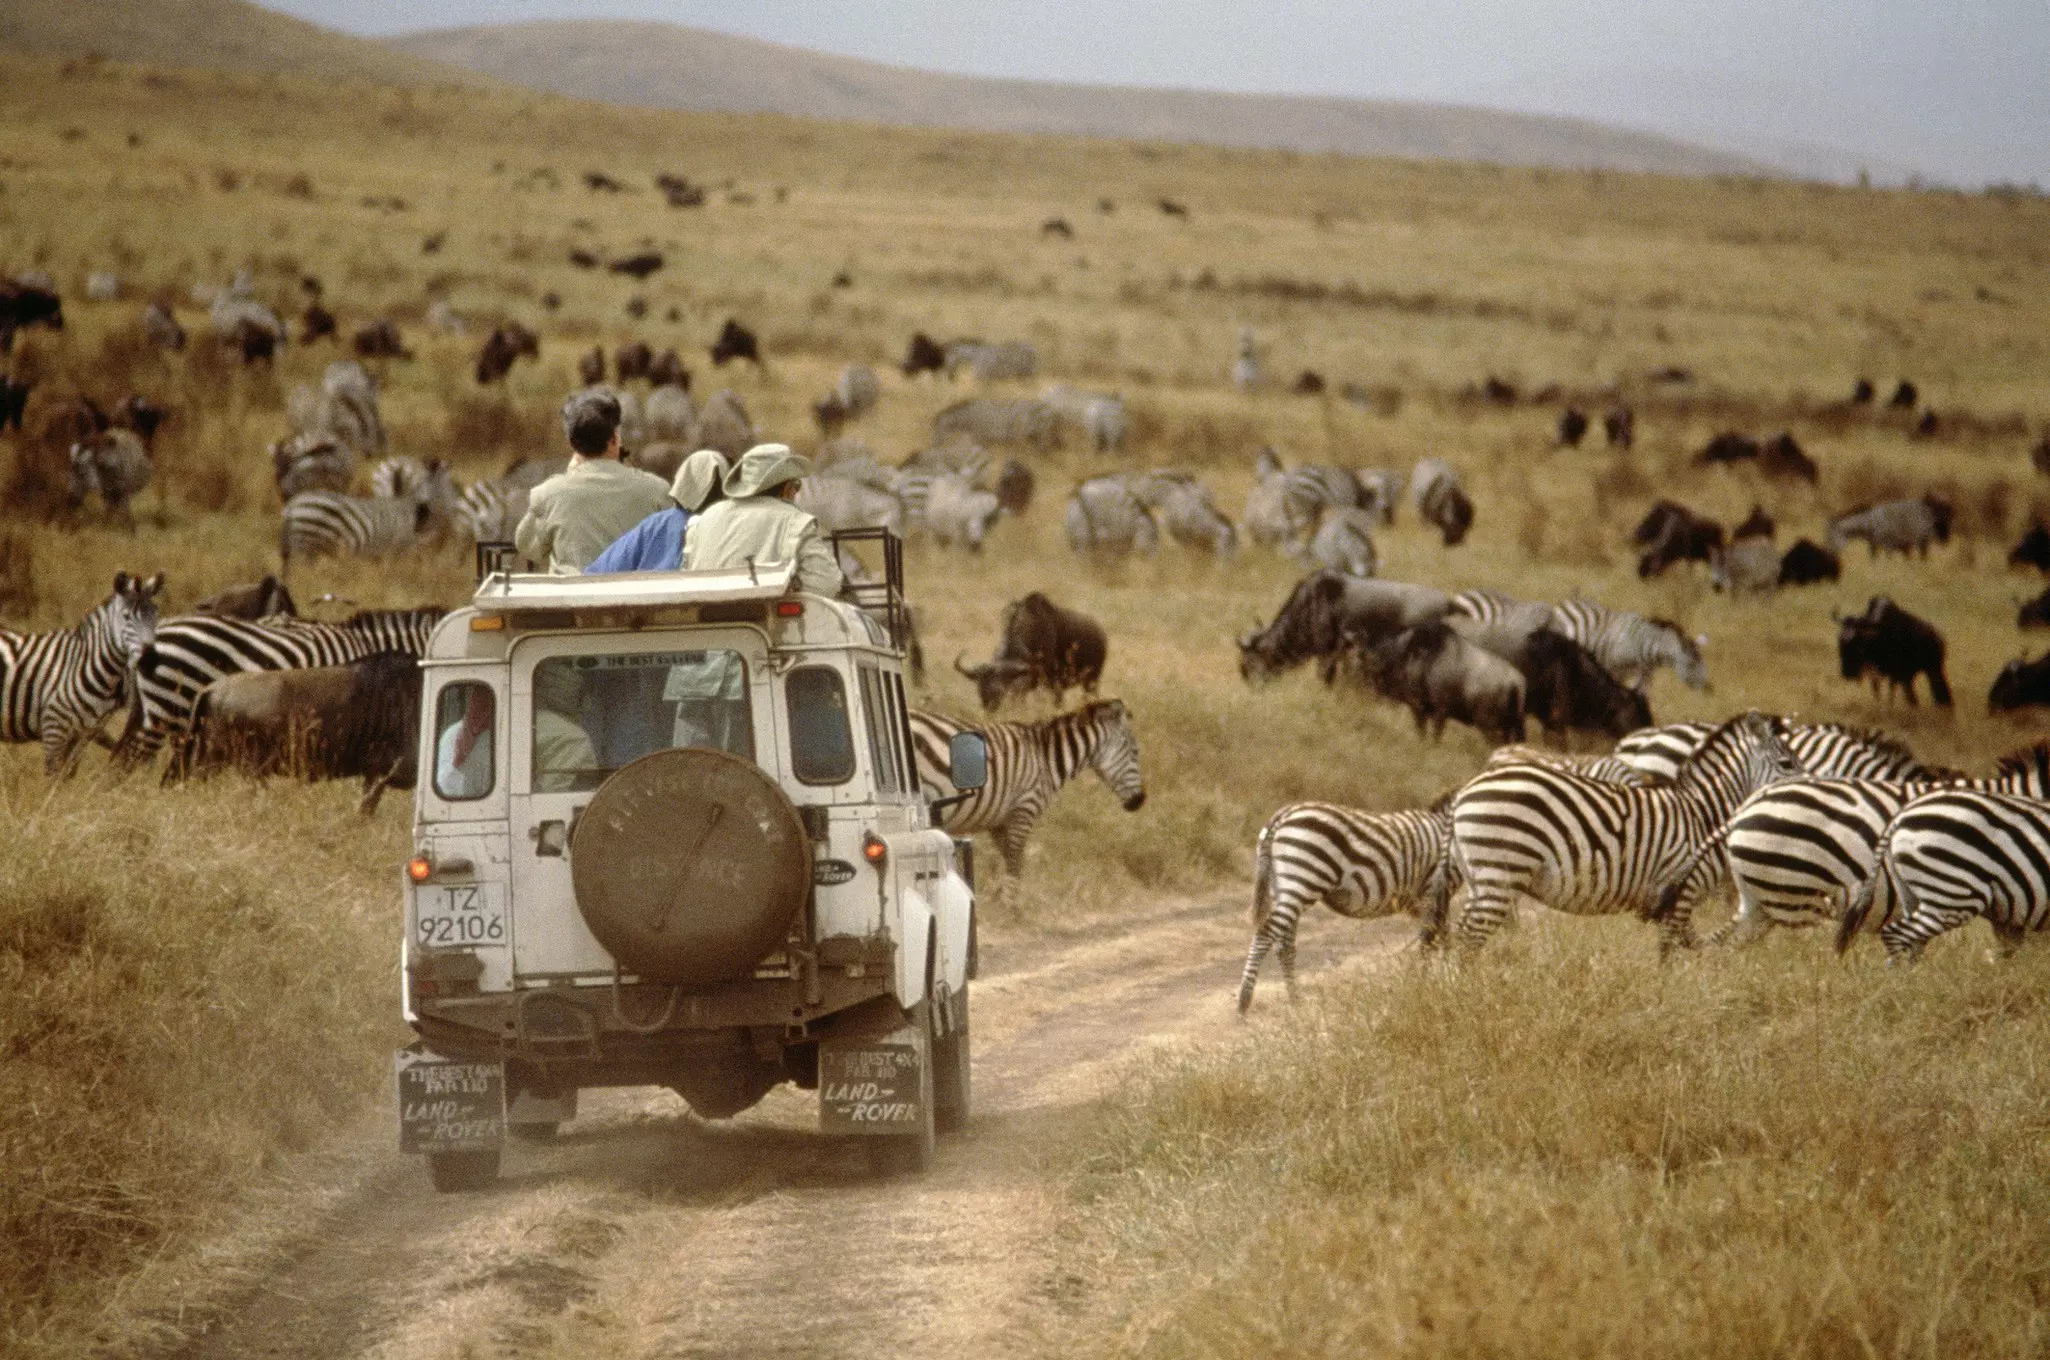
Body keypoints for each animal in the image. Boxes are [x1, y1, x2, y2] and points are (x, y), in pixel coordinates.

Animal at [0, 571, 163, 774]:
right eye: (126, 617)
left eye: (155, 614)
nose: (152, 659)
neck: (85, 665)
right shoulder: (53, 728)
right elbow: (54, 777)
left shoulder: (82, 734)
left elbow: (67, 774)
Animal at [908, 700, 1145, 878]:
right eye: (1135, 752)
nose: (1140, 800)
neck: (1046, 759)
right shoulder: (1025, 809)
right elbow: (1015, 863)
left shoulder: (1000, 821)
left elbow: (1007, 863)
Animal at [1238, 796, 1456, 1014]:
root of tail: (1281, 815)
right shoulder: (1435, 890)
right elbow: (1438, 937)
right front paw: (1447, 981)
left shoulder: (1426, 899)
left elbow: (1435, 937)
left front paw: (1440, 981)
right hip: (1302, 880)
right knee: (1265, 934)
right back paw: (1244, 1001)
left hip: (1284, 889)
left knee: (1285, 946)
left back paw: (1296, 1003)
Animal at [1449, 710, 1801, 952]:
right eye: (1787, 764)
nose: (1807, 790)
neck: (1703, 813)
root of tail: (1465, 792)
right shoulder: (1682, 889)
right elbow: (1669, 948)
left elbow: (1683, 941)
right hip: (1500, 873)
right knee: (1468, 938)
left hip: (1479, 878)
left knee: (1460, 933)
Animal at [1549, 598, 1707, 691]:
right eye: (1690, 664)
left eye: (1702, 663)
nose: (1705, 687)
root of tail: (1569, 602)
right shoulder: (1612, 671)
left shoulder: (1644, 680)